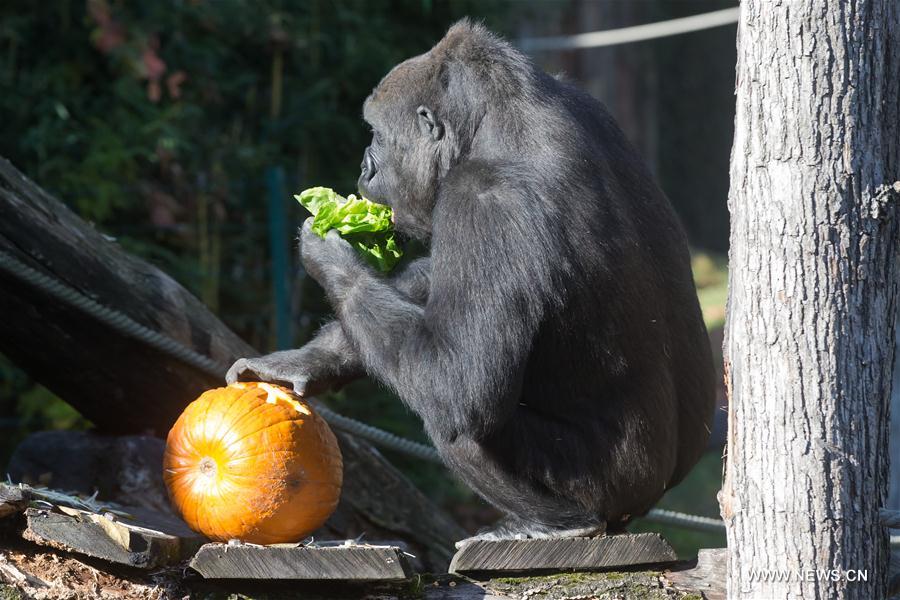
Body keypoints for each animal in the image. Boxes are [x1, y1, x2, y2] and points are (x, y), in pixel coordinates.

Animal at [227, 19, 716, 544]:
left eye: (376, 135)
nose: (364, 167)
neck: (495, 124)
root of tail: (652, 497)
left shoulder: (483, 200)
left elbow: (456, 380)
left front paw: (328, 251)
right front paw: (309, 360)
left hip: (606, 487)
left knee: (460, 424)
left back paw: (557, 523)